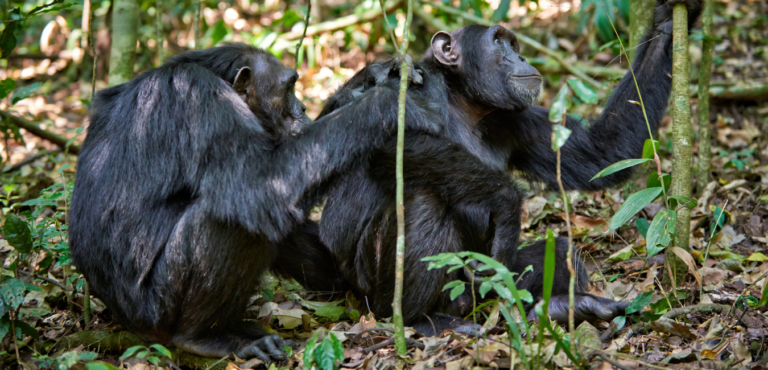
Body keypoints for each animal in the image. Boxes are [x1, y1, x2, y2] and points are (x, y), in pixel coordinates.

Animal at [70, 42, 440, 360]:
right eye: (288, 88)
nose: (302, 107)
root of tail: (125, 322)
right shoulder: (197, 95)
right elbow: (258, 182)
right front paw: (389, 101)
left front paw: (372, 77)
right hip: (156, 311)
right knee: (232, 217)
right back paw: (205, 336)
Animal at [314, 0, 704, 336]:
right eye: (499, 41)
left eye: (513, 43)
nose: (520, 54)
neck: (463, 101)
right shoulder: (409, 85)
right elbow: (387, 138)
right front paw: (508, 202)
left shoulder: (517, 121)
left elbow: (600, 152)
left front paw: (669, 20)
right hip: (377, 293)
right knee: (425, 202)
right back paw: (423, 320)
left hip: (489, 290)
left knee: (558, 250)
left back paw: (564, 306)